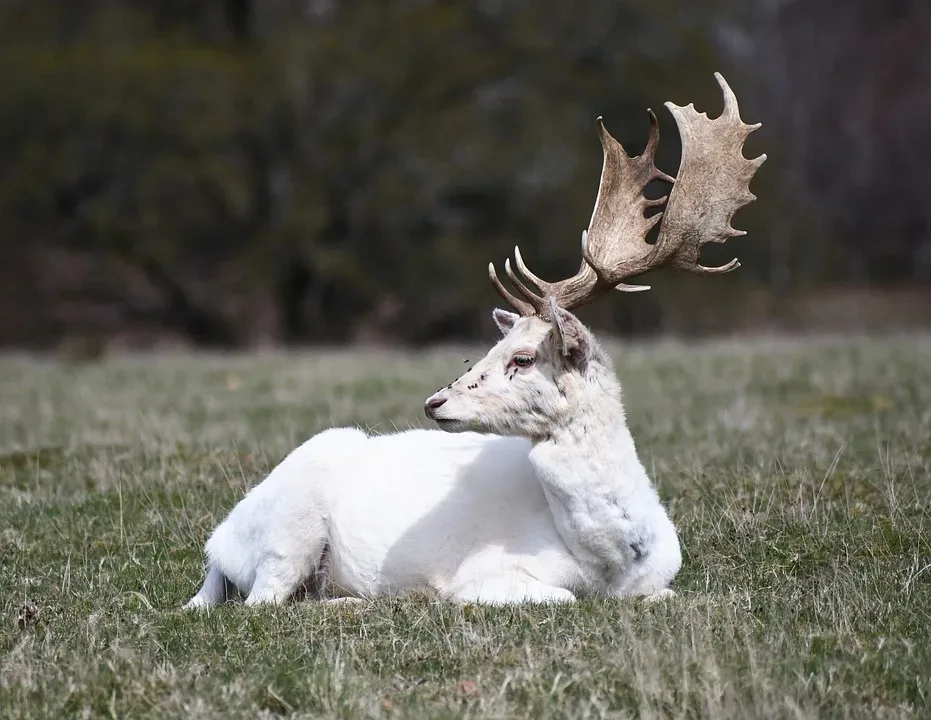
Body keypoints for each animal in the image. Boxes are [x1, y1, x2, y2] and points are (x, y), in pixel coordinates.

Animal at [182, 74, 764, 608]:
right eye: (487, 350)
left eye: (523, 357)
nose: (435, 401)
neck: (610, 563)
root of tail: (219, 543)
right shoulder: (484, 576)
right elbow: (560, 596)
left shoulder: (662, 576)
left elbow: (664, 595)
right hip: (288, 531)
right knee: (263, 603)